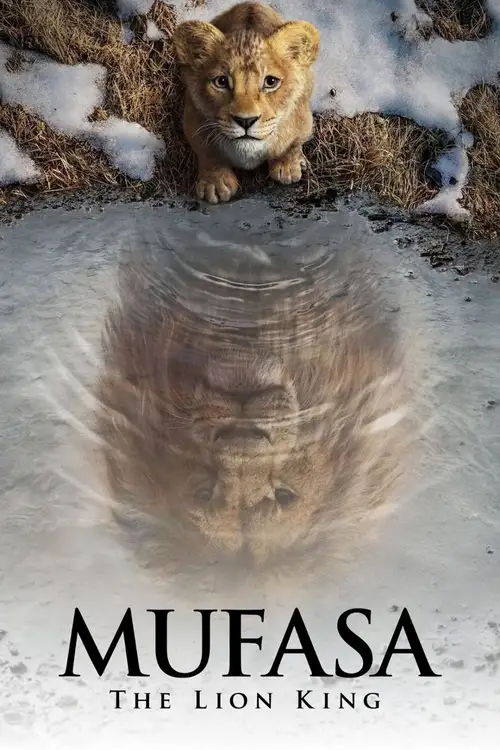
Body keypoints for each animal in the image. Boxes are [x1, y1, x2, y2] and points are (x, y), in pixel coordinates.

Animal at [172, 2, 320, 204]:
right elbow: (208, 152)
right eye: (221, 82)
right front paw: (215, 184)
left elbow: (292, 145)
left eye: (271, 82)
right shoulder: (193, 120)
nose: (245, 121)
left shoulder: (304, 119)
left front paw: (288, 167)